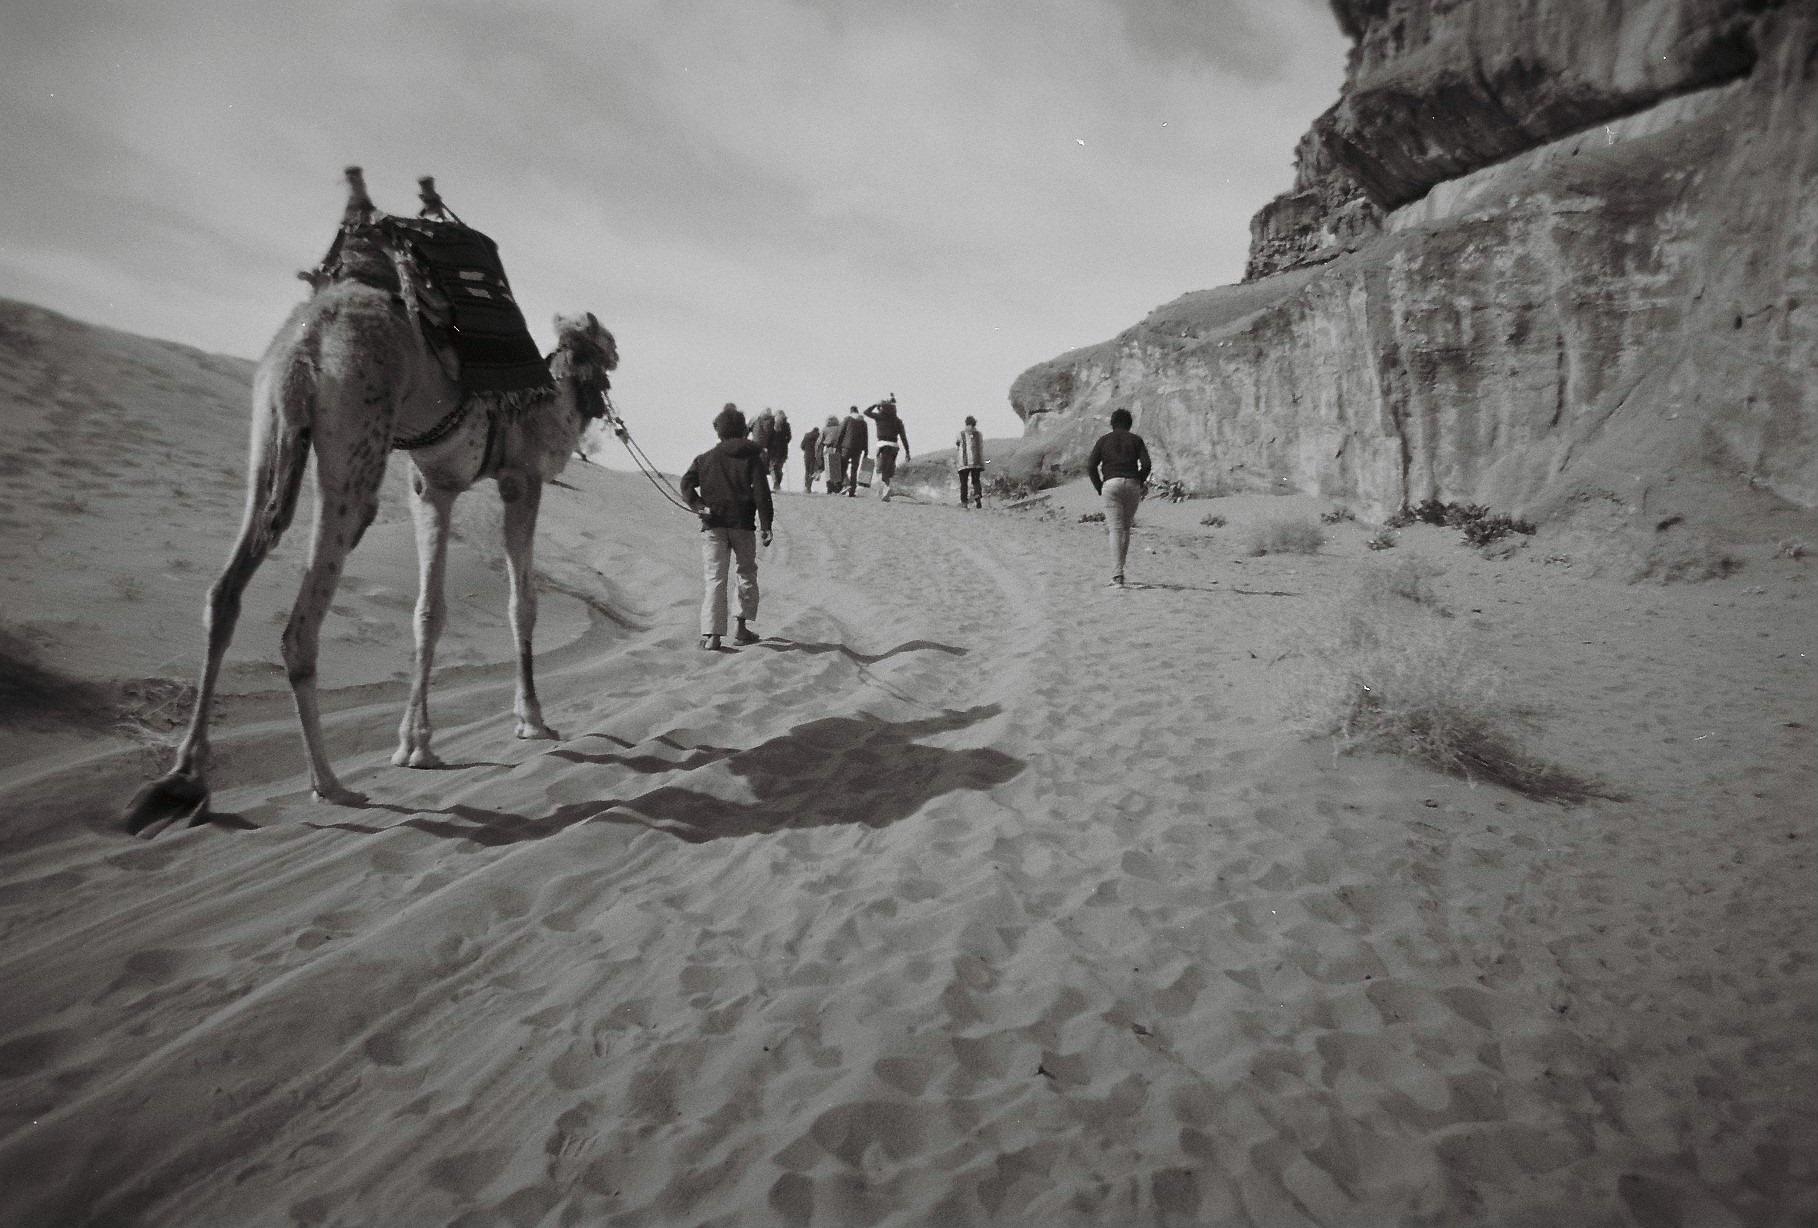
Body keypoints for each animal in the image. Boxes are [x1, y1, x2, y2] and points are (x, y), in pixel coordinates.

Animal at [122, 168, 618, 836]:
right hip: (355, 444)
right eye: (606, 345)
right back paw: (329, 783)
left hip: (268, 425)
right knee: (300, 624)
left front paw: (416, 744)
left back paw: (186, 778)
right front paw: (531, 720)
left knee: (225, 592)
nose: (610, 382)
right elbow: (523, 603)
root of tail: (308, 343)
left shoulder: (433, 485)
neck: (545, 404)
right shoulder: (521, 480)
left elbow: (428, 611)